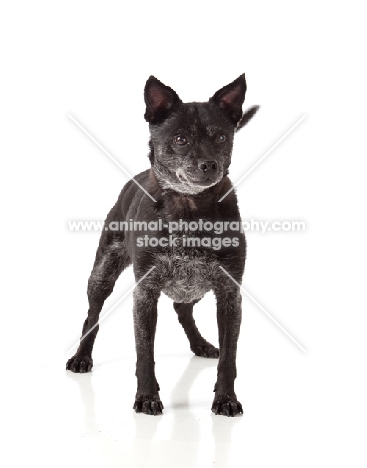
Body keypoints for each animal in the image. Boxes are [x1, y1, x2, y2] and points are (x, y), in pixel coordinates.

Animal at [67, 74, 260, 416]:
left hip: (195, 286)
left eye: (221, 137)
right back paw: (81, 357)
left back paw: (200, 344)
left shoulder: (228, 293)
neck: (189, 209)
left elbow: (230, 356)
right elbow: (144, 351)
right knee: (92, 315)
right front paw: (146, 396)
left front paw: (226, 398)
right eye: (181, 139)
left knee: (183, 309)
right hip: (102, 273)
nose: (209, 164)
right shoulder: (145, 292)